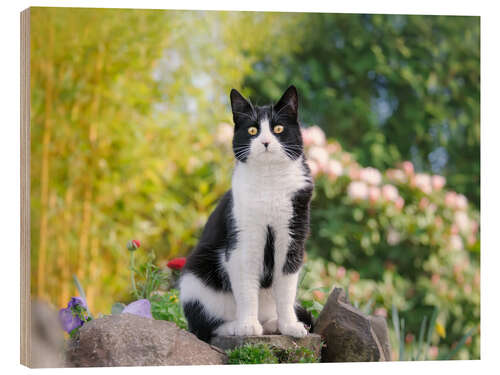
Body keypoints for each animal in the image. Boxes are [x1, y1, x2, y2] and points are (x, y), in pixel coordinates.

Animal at [179, 86, 312, 344]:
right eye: (252, 130)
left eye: (278, 128)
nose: (266, 141)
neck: (269, 182)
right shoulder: (244, 240)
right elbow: (247, 288)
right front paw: (248, 326)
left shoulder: (292, 237)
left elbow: (286, 288)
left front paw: (290, 326)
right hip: (194, 280)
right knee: (203, 327)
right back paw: (235, 326)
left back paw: (273, 324)